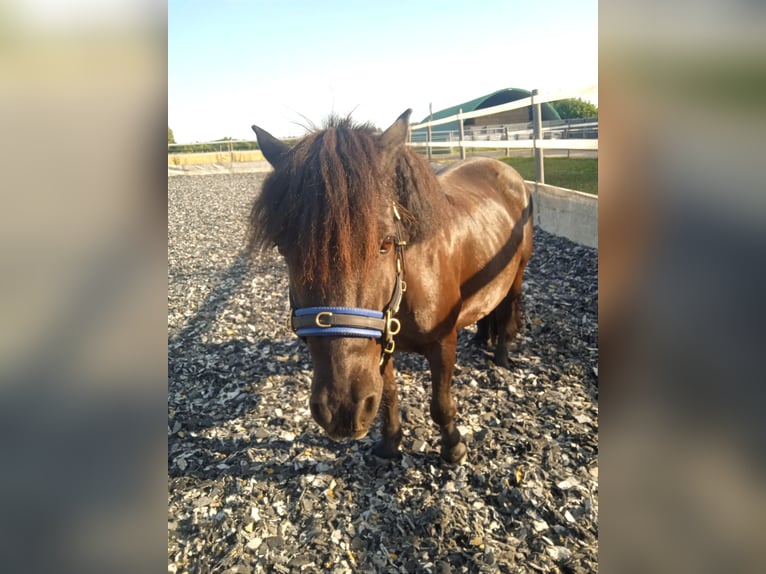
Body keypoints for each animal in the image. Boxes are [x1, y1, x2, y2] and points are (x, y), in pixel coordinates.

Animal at [248, 110, 533, 463]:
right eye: (283, 248)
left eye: (385, 243)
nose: (342, 410)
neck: (409, 281)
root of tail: (504, 168)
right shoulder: (380, 344)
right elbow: (388, 395)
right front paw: (390, 442)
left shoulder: (442, 342)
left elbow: (440, 404)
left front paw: (453, 447)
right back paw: (482, 337)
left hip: (517, 272)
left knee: (507, 308)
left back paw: (502, 357)